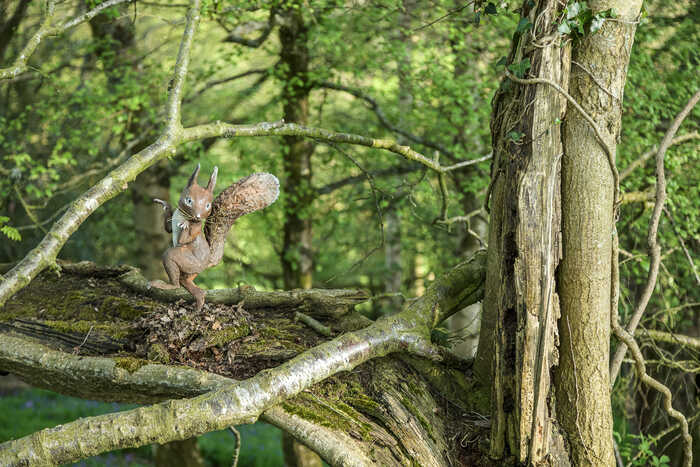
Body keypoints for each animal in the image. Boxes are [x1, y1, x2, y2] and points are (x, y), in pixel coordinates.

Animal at [149, 163, 279, 311]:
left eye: (208, 205)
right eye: (188, 200)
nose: (197, 217)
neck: (184, 215)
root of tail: (207, 262)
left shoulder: (196, 228)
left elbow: (185, 239)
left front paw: (186, 224)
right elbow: (168, 229)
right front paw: (165, 205)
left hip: (189, 262)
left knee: (174, 264)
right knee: (187, 281)